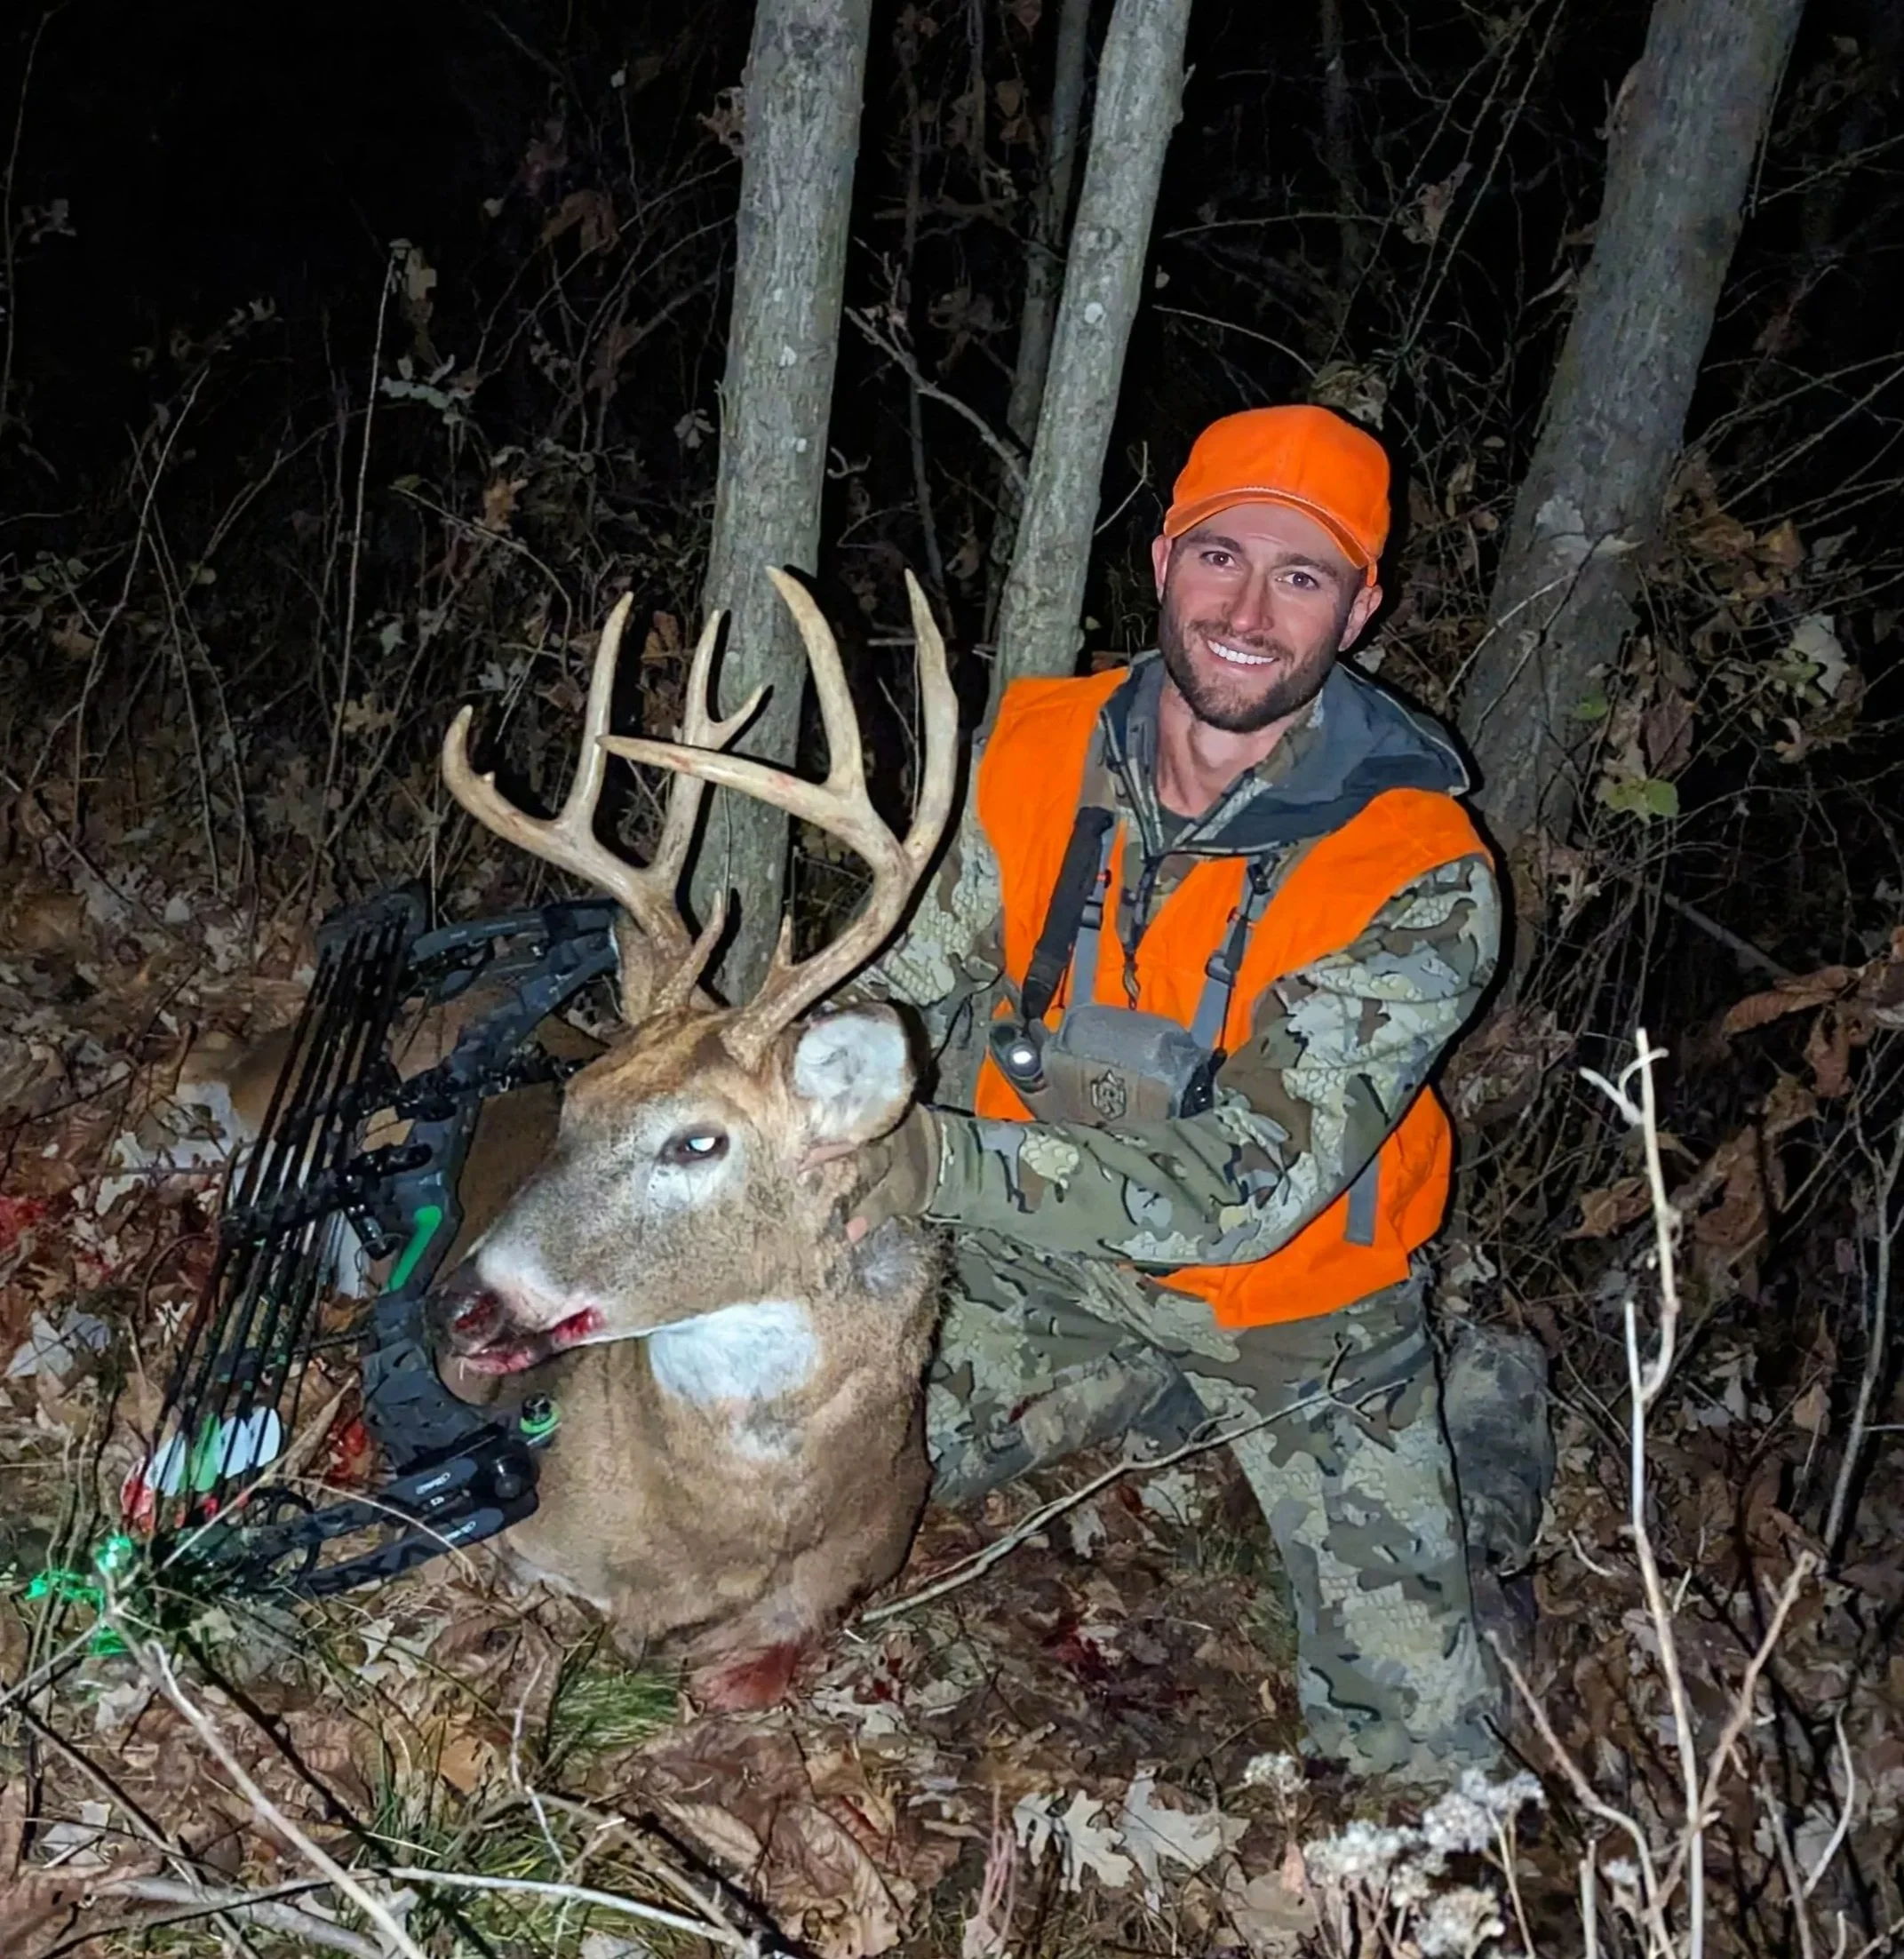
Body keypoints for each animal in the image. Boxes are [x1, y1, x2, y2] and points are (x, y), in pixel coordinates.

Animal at [184, 569, 959, 1710]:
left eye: (697, 1145)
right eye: (575, 1099)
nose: (456, 1302)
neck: (730, 1527)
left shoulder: (874, 1545)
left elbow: (768, 1650)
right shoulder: (526, 1535)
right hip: (273, 1085)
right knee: (213, 1074)